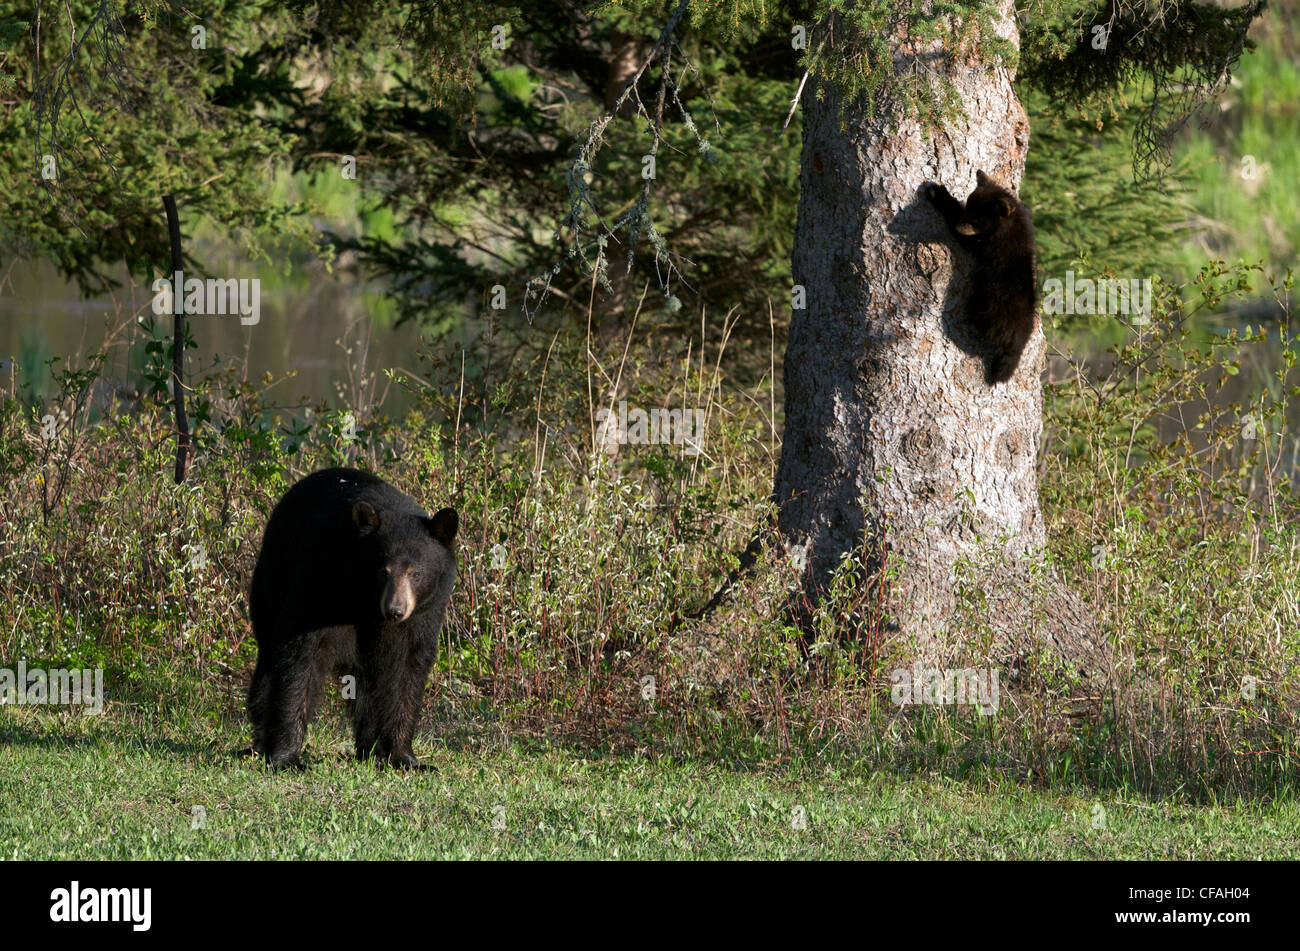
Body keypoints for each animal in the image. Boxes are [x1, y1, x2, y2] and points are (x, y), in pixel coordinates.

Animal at [248, 465, 457, 769]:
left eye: (416, 573)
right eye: (383, 571)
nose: (395, 610)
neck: (366, 601)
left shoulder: (424, 614)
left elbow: (409, 667)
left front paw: (405, 756)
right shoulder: (322, 575)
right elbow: (301, 656)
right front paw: (286, 757)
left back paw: (368, 748)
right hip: (270, 580)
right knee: (268, 657)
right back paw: (259, 739)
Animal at [920, 168, 1040, 384]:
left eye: (977, 220)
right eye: (969, 207)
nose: (959, 226)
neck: (1008, 225)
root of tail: (1018, 343)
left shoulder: (990, 245)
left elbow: (968, 241)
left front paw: (938, 193)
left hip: (989, 310)